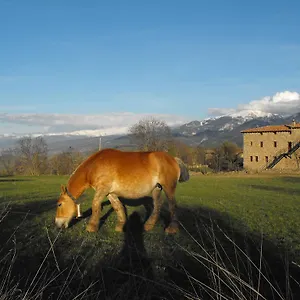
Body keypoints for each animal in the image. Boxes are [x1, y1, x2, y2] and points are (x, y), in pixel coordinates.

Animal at [55, 149, 189, 233]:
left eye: (59, 204)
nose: (57, 224)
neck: (94, 166)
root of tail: (173, 159)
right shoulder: (110, 193)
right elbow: (117, 207)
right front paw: (121, 226)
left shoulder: (102, 190)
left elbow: (95, 205)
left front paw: (91, 227)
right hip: (157, 188)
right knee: (157, 204)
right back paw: (148, 225)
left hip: (168, 187)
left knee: (172, 205)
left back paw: (172, 228)